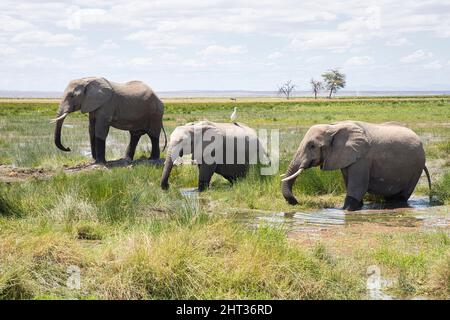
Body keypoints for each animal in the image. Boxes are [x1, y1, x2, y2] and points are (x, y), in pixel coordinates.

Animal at [282, 121, 432, 211]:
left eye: (312, 146)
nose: (295, 201)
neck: (334, 127)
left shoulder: (362, 159)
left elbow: (357, 187)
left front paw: (346, 210)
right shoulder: (346, 157)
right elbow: (349, 182)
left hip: (416, 168)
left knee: (402, 195)